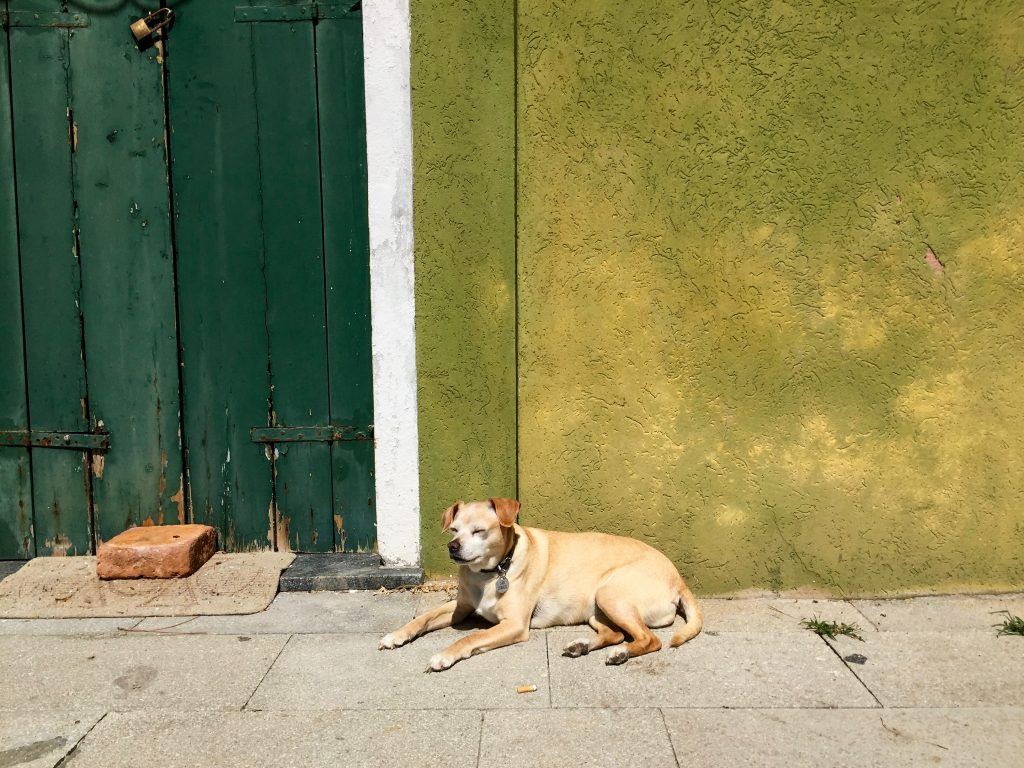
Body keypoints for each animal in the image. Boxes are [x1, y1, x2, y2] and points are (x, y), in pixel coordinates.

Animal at [380, 499, 700, 671]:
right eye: (454, 529)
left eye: (480, 531)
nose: (453, 547)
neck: (491, 572)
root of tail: (678, 579)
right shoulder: (460, 607)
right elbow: (422, 618)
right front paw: (397, 635)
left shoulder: (513, 625)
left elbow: (470, 639)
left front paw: (445, 655)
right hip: (598, 608)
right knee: (617, 634)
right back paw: (582, 646)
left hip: (611, 595)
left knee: (649, 639)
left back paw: (620, 654)